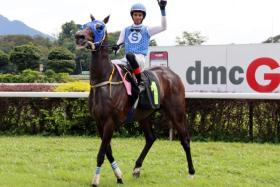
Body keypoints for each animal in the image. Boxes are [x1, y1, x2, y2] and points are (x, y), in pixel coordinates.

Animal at [75, 15, 196, 187]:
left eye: (99, 27)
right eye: (85, 25)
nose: (79, 37)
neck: (103, 80)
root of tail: (172, 74)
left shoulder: (110, 122)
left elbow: (101, 153)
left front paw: (95, 180)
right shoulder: (99, 122)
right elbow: (108, 151)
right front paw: (119, 176)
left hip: (176, 111)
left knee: (185, 140)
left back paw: (191, 173)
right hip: (144, 115)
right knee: (151, 138)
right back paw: (137, 168)